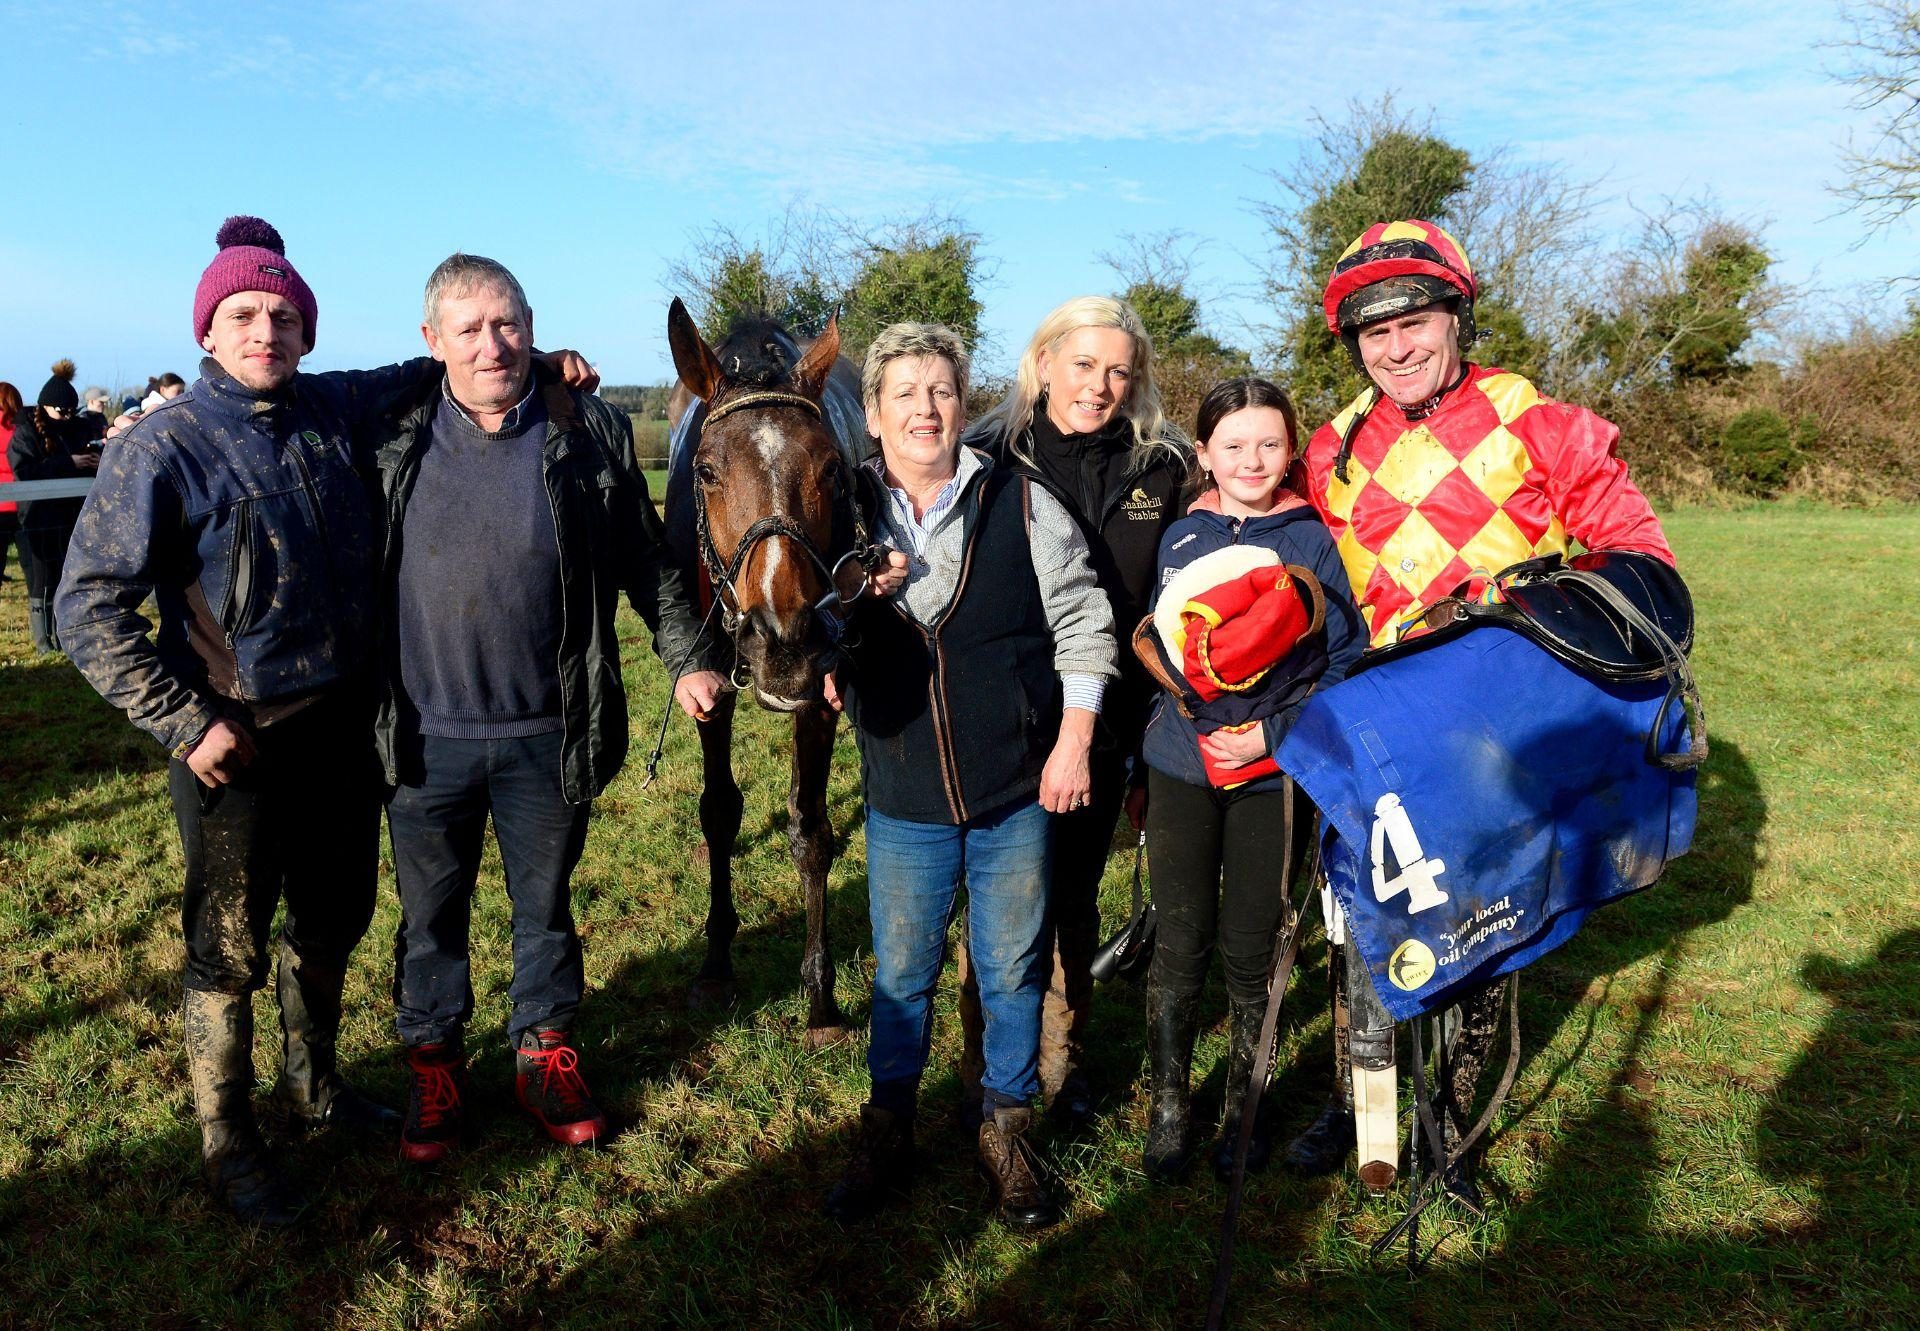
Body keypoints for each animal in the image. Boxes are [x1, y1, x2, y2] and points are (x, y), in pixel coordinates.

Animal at [660, 301, 871, 1052]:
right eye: (707, 471)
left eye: (832, 469)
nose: (784, 642)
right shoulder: (709, 686)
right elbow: (720, 811)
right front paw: (717, 962)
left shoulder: (820, 693)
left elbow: (811, 831)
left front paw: (820, 997)